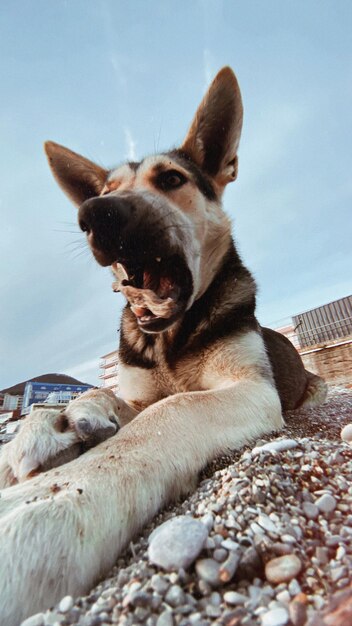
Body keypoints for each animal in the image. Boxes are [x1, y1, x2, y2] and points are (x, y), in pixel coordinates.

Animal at [0, 68, 328, 624]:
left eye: (172, 180)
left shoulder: (250, 389)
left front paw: (49, 502)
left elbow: (169, 412)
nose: (96, 213)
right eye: (106, 189)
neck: (170, 341)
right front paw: (54, 425)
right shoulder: (137, 386)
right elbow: (107, 399)